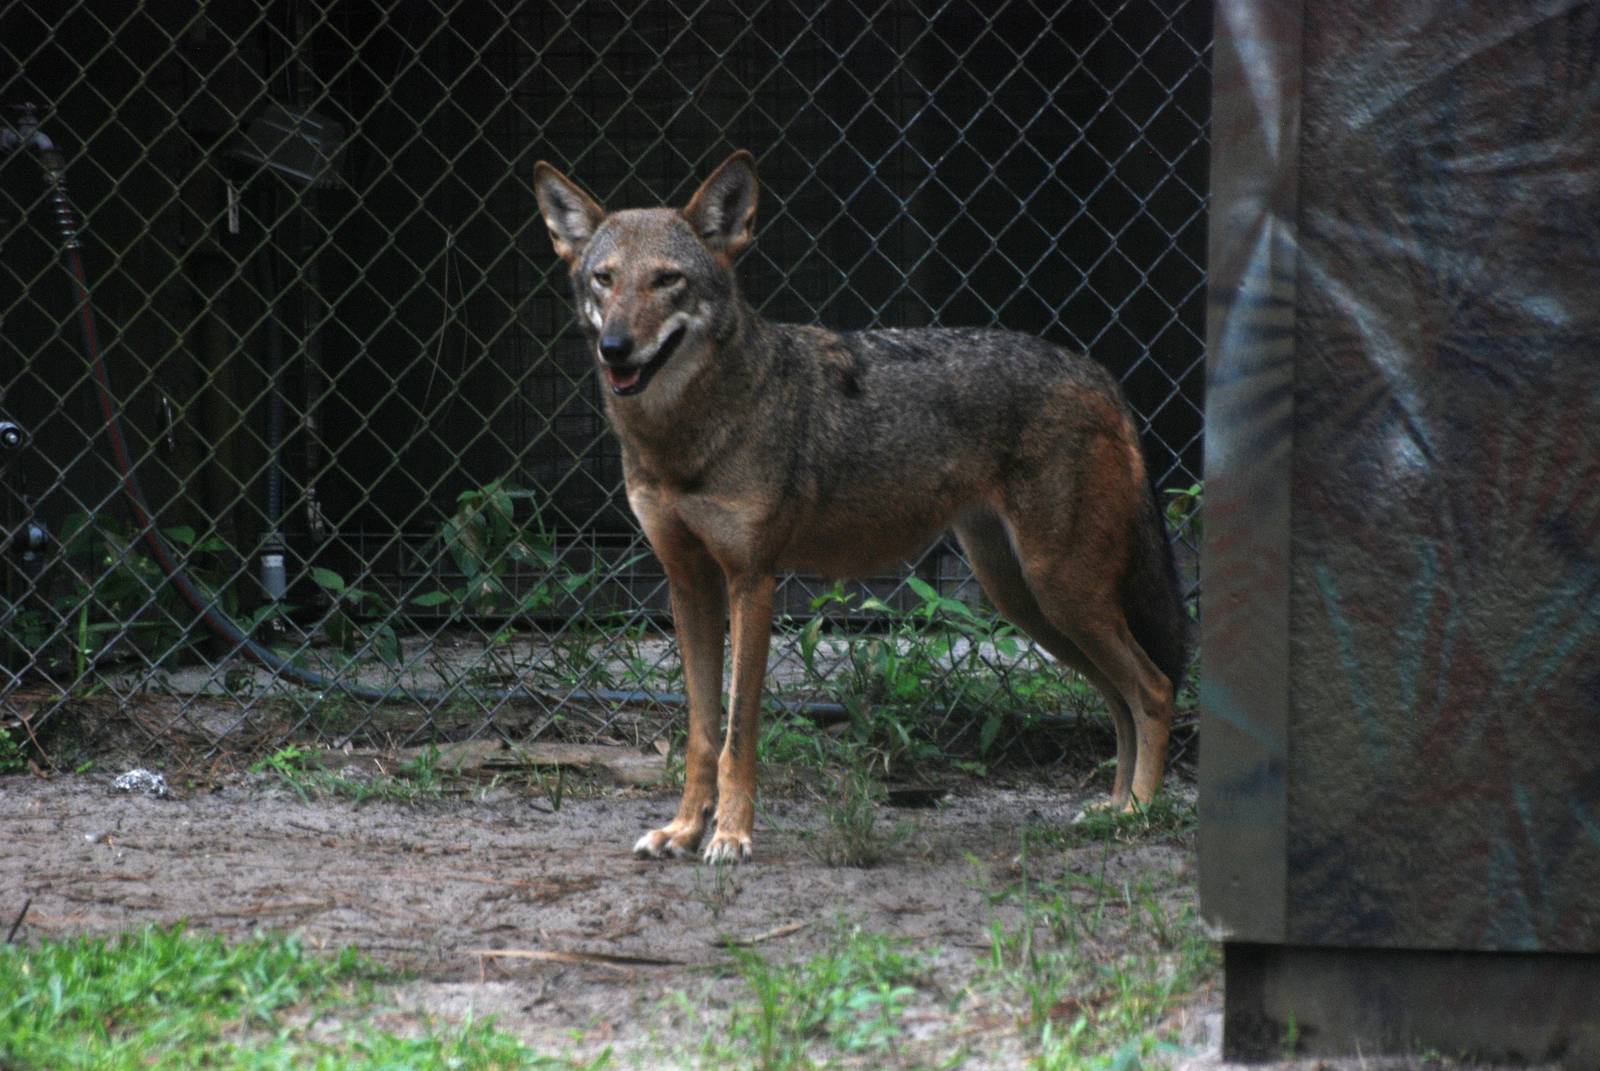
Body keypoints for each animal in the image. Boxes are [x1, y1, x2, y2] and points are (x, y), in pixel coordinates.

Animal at [534, 150, 1187, 864]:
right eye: (605, 279)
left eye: (666, 280)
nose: (615, 348)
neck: (684, 438)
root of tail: (1099, 373)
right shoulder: (688, 583)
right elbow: (703, 732)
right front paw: (684, 830)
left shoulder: (753, 581)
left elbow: (739, 732)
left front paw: (731, 835)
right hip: (1031, 602)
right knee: (1121, 698)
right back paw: (1110, 809)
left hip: (1061, 594)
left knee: (1153, 689)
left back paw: (1139, 813)